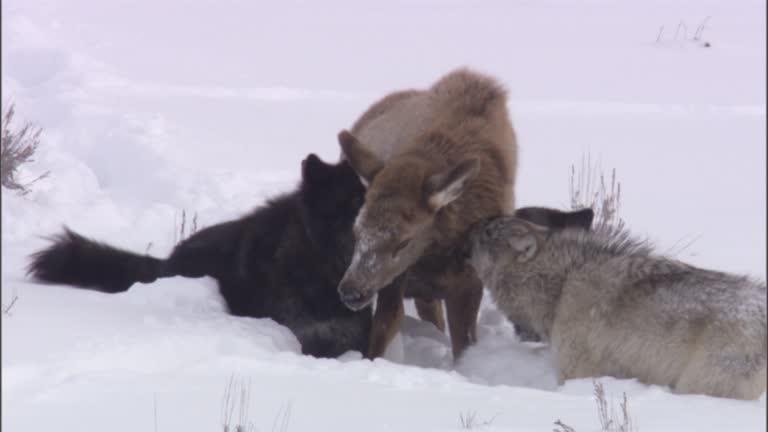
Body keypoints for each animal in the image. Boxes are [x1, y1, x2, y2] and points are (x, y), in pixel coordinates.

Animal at [334, 68, 518, 360]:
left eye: (404, 241)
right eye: (356, 230)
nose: (351, 291)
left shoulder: (468, 283)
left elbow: (463, 346)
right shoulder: (398, 279)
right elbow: (383, 330)